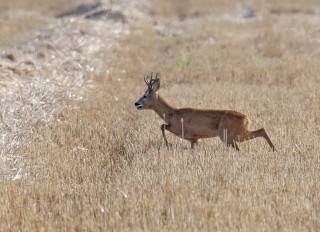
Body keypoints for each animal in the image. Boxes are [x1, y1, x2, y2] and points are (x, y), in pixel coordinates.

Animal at [134, 73, 276, 151]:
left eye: (145, 95)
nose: (136, 103)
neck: (172, 113)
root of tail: (247, 118)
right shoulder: (194, 139)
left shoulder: (180, 129)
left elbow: (162, 126)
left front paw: (169, 145)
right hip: (237, 134)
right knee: (261, 130)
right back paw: (274, 149)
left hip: (228, 135)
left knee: (240, 146)